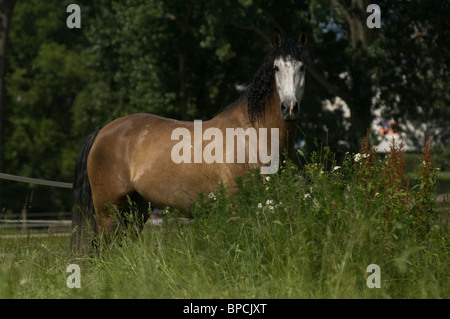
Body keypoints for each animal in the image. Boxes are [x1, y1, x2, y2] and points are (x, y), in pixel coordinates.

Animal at [71, 31, 310, 254]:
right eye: (276, 67)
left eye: (302, 67)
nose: (289, 107)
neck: (254, 132)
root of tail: (102, 132)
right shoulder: (237, 206)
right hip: (108, 212)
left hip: (136, 210)